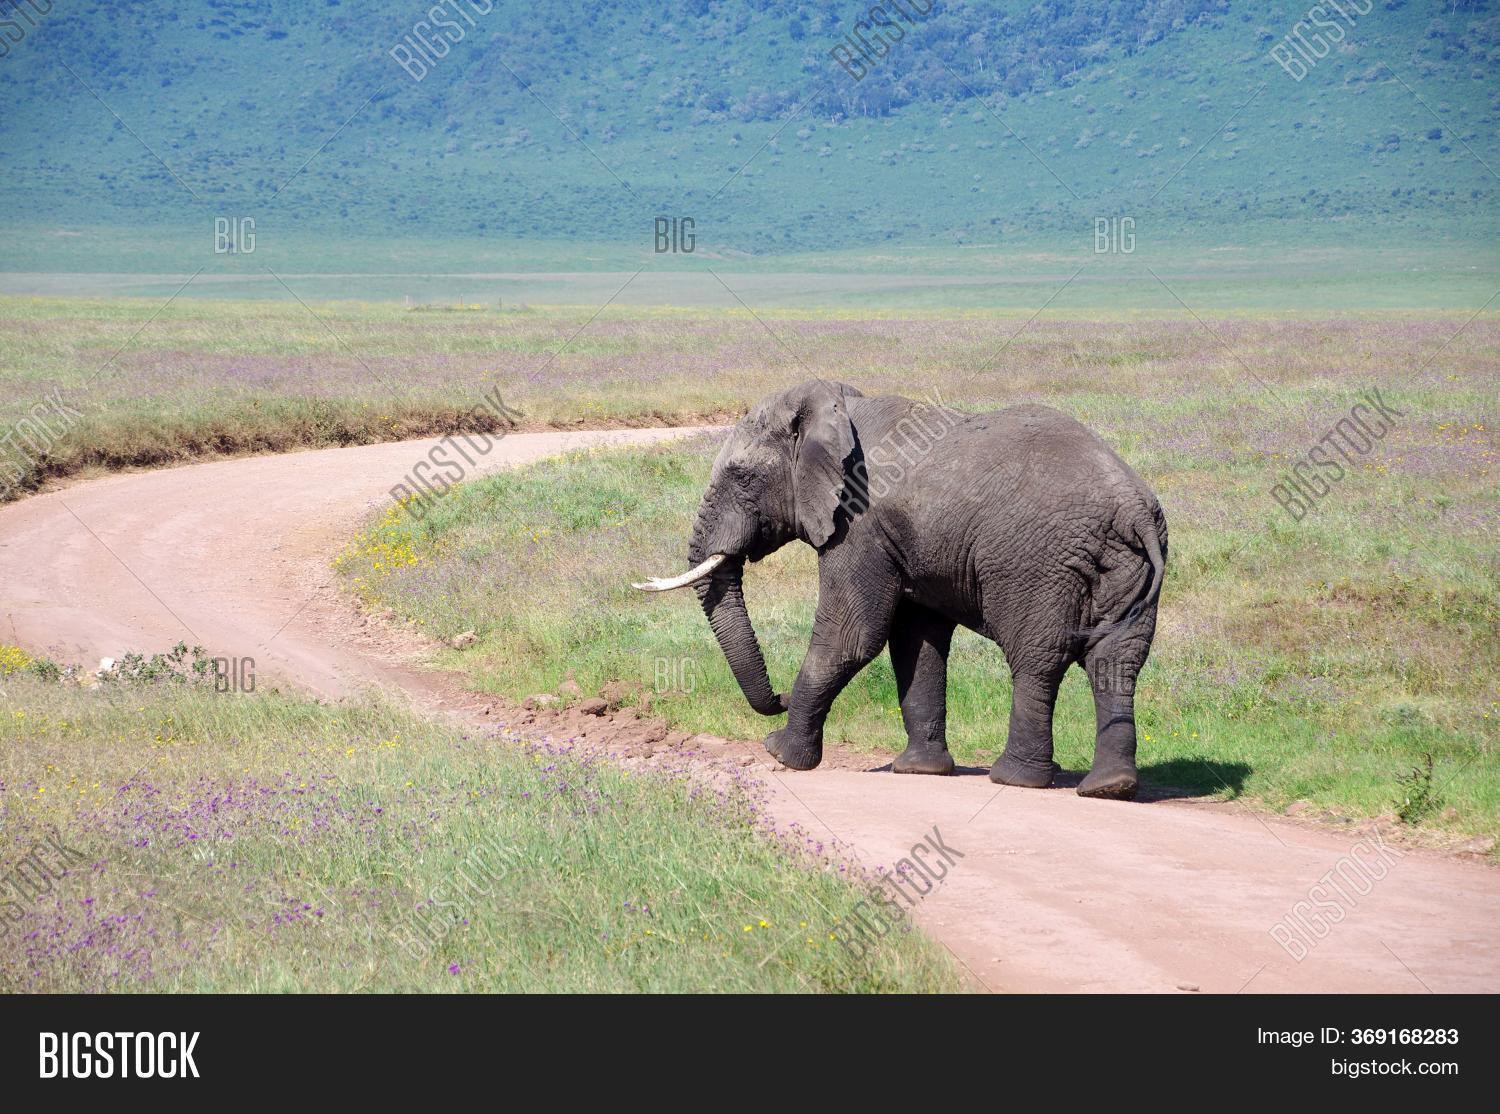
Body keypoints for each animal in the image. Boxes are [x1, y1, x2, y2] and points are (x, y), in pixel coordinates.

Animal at [633, 380, 1167, 800]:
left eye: (742, 477)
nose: (778, 697)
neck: (839, 407)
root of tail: (1131, 511)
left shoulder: (858, 522)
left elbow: (852, 637)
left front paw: (781, 754)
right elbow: (917, 641)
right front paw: (919, 771)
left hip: (1036, 565)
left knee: (1037, 659)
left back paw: (1014, 779)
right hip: (1127, 568)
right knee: (1116, 663)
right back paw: (1110, 787)